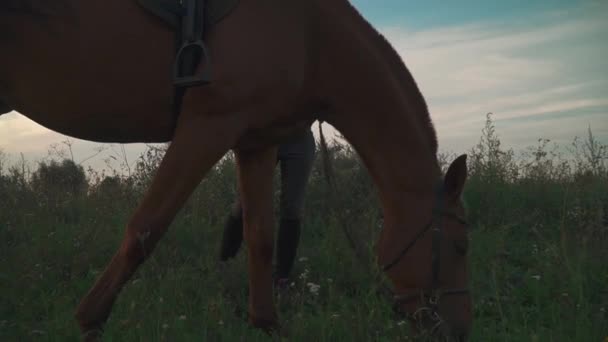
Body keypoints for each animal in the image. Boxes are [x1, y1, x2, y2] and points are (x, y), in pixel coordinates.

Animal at [0, 0, 472, 340]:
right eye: (461, 246)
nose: (460, 330)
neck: (310, 37)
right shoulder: (208, 126)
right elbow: (145, 229)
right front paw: (89, 319)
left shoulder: (256, 142)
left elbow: (260, 238)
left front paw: (267, 324)